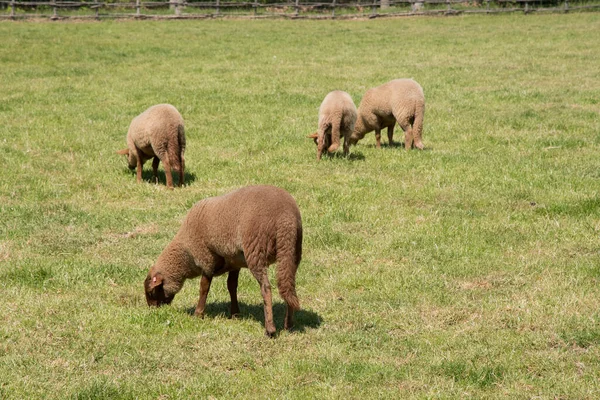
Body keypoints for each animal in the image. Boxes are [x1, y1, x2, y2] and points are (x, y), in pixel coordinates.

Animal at [144, 184, 302, 338]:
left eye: (151, 292)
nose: (153, 312)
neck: (186, 254)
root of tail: (285, 218)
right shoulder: (234, 262)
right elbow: (231, 286)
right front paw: (235, 313)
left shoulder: (206, 260)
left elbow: (204, 288)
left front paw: (198, 314)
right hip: (292, 253)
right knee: (288, 286)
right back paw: (289, 325)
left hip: (256, 251)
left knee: (266, 288)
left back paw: (270, 330)